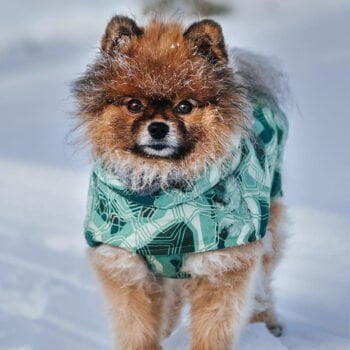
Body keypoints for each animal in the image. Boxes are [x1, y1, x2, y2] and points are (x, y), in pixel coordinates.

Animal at [72, 15, 288, 348]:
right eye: (134, 105)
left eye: (184, 106)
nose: (158, 128)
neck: (161, 193)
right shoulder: (128, 267)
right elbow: (138, 329)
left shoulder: (222, 265)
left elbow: (212, 331)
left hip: (267, 229)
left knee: (262, 287)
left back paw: (266, 326)